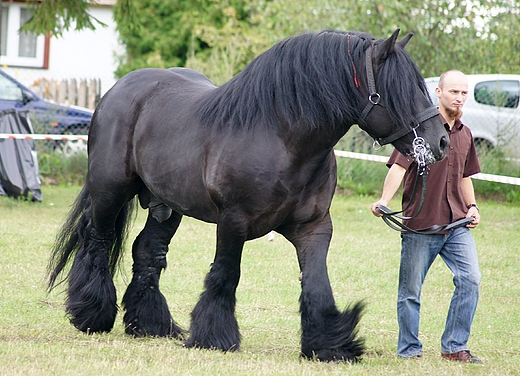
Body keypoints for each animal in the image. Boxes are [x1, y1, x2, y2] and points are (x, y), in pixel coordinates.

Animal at [47, 29, 446, 362]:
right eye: (401, 89)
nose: (441, 141)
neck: (282, 138)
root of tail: (118, 90)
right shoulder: (233, 222)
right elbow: (226, 274)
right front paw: (214, 337)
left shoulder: (314, 227)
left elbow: (317, 283)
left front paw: (329, 343)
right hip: (110, 190)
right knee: (97, 242)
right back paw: (90, 312)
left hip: (168, 206)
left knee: (148, 252)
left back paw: (150, 325)